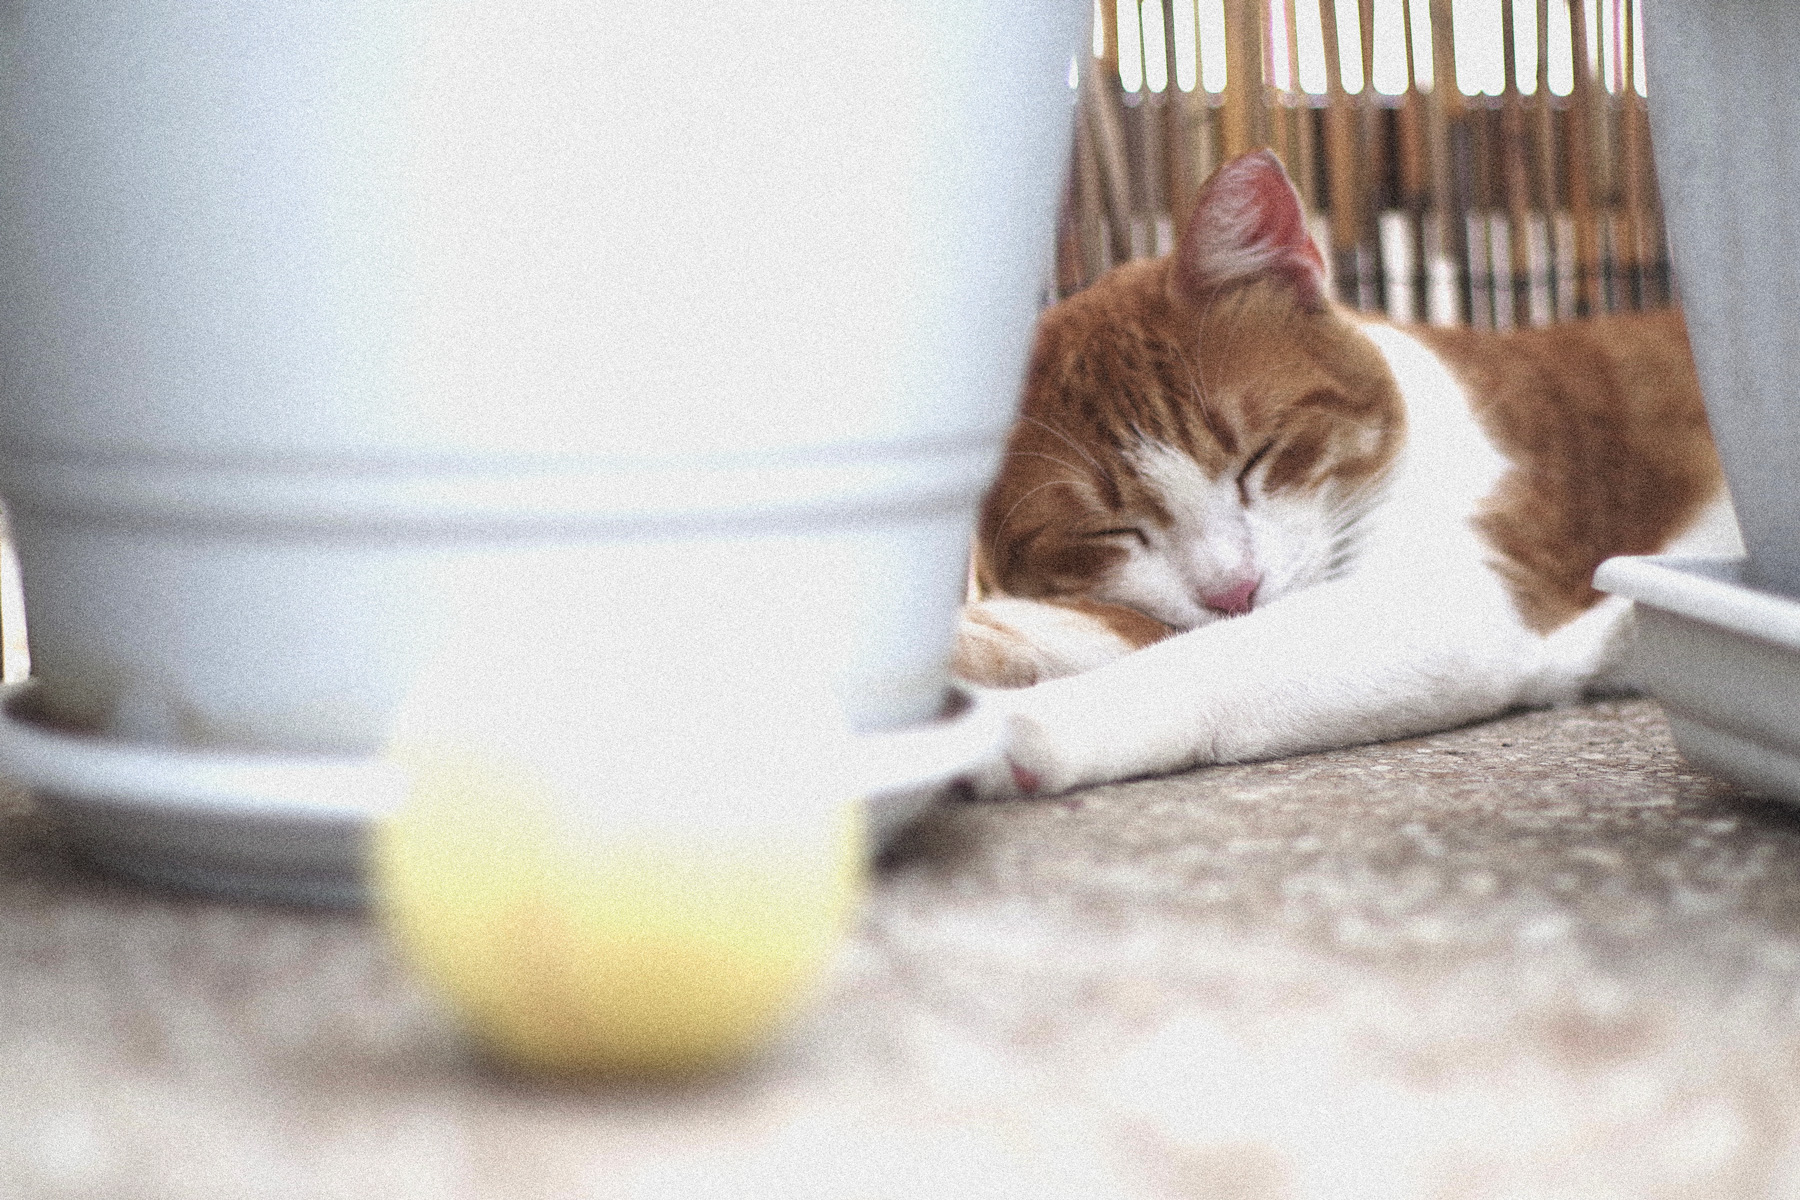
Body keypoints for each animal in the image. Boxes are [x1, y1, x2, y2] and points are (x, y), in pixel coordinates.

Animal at [957, 152, 1728, 805]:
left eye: (1259, 458)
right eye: (1113, 530)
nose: (1234, 591)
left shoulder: (1459, 599)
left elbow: (1212, 656)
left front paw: (1024, 725)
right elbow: (1098, 625)